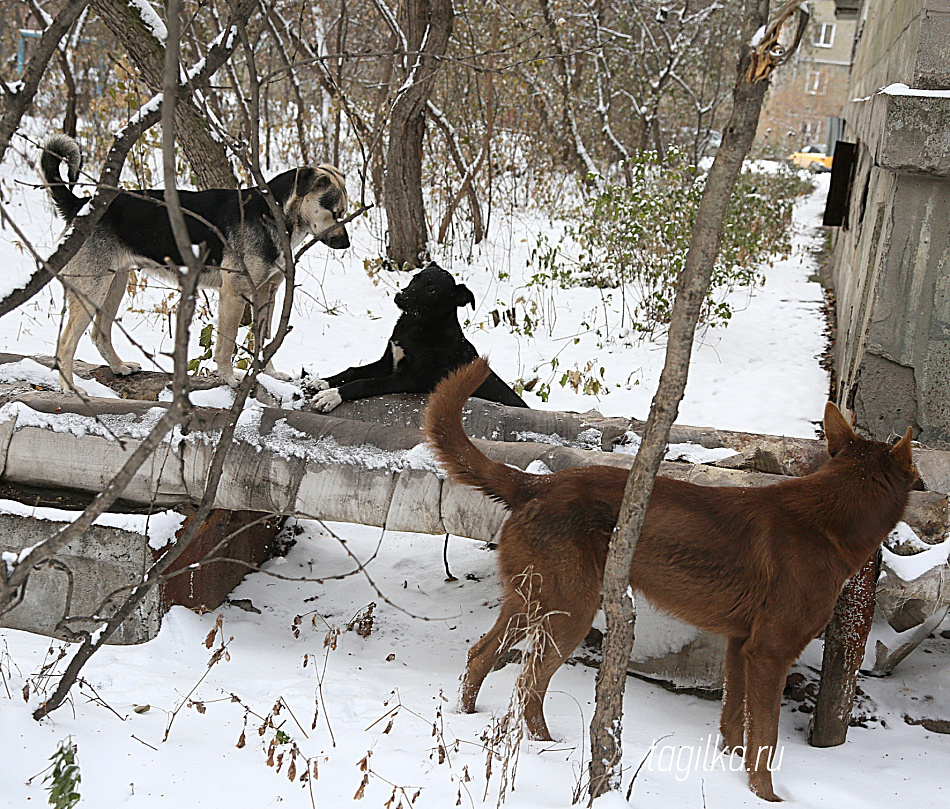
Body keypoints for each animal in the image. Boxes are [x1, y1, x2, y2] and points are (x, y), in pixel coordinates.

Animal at [41, 134, 352, 390]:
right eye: (336, 213)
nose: (346, 244)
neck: (272, 214)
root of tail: (81, 205)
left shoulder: (267, 293)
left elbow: (261, 340)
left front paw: (270, 373)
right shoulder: (234, 294)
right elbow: (226, 344)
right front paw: (229, 378)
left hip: (114, 282)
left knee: (99, 333)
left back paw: (119, 368)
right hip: (94, 287)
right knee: (66, 344)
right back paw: (70, 388)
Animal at [308, 264, 528, 410]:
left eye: (431, 289)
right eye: (415, 278)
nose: (400, 296)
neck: (416, 325)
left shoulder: (409, 379)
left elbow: (365, 383)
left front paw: (332, 396)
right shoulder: (388, 362)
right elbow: (353, 371)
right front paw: (324, 382)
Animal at [428, 360, 920, 800]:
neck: (826, 520)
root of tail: (535, 485)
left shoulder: (740, 646)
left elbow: (734, 727)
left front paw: (728, 776)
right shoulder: (769, 653)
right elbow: (765, 741)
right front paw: (766, 797)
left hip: (531, 601)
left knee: (480, 656)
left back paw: (469, 717)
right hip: (570, 613)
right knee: (528, 683)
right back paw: (550, 748)